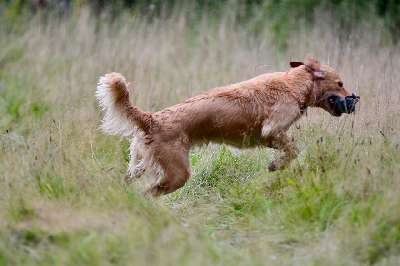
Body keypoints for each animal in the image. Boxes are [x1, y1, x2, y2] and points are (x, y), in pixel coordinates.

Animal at [96, 57, 360, 195]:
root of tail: (152, 118)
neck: (293, 85)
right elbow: (293, 149)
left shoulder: (270, 136)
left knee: (129, 181)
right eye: (340, 83)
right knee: (148, 193)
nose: (354, 99)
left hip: (140, 165)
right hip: (177, 173)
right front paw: (276, 165)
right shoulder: (272, 130)